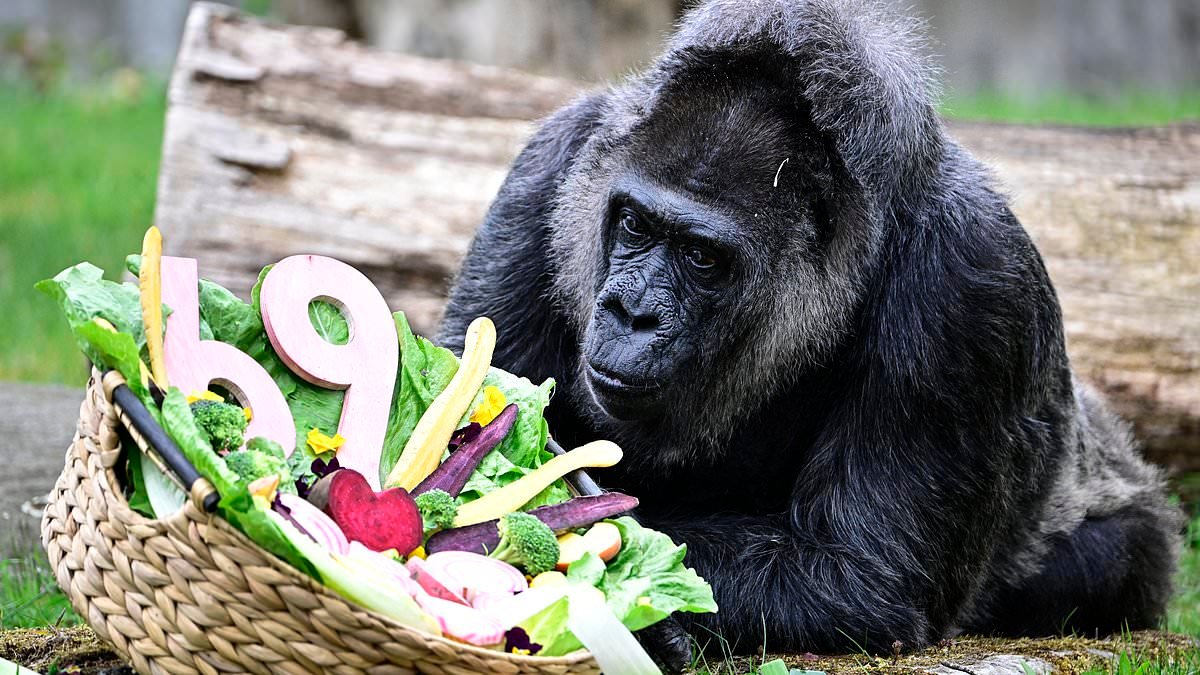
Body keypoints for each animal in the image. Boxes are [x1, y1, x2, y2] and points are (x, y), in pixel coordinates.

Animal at [436, 0, 1182, 663]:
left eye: (702, 258)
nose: (632, 312)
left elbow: (856, 573)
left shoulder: (972, 275)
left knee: (1111, 559)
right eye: (635, 224)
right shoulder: (552, 162)